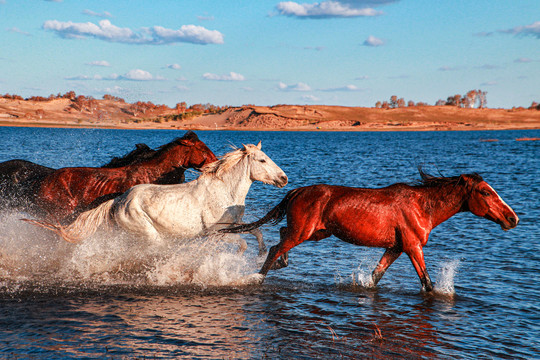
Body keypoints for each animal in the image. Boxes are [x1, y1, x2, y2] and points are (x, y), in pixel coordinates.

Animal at [26, 142, 286, 252]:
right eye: (262, 160)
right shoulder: (216, 232)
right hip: (148, 233)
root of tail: (118, 201)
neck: (224, 190)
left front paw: (262, 253)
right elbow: (241, 244)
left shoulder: (235, 224)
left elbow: (256, 232)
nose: (284, 178)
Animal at [223, 170, 520, 292]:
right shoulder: (413, 247)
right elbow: (427, 283)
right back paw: (259, 276)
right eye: (485, 192)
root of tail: (297, 190)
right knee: (276, 247)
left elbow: (376, 276)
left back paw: (280, 264)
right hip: (304, 232)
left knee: (282, 234)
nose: (512, 218)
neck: (422, 206)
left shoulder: (395, 248)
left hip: (317, 232)